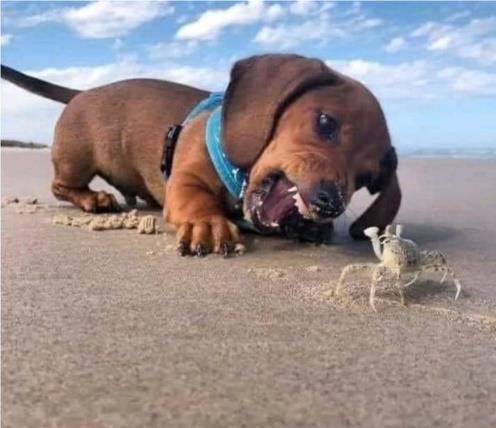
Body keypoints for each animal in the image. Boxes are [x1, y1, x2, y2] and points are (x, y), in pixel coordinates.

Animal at [0, 53, 402, 254]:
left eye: (366, 178)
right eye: (325, 121)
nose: (330, 203)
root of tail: (83, 92)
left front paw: (314, 229)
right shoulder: (187, 179)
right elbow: (197, 201)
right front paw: (208, 224)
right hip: (77, 159)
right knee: (61, 186)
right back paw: (93, 198)